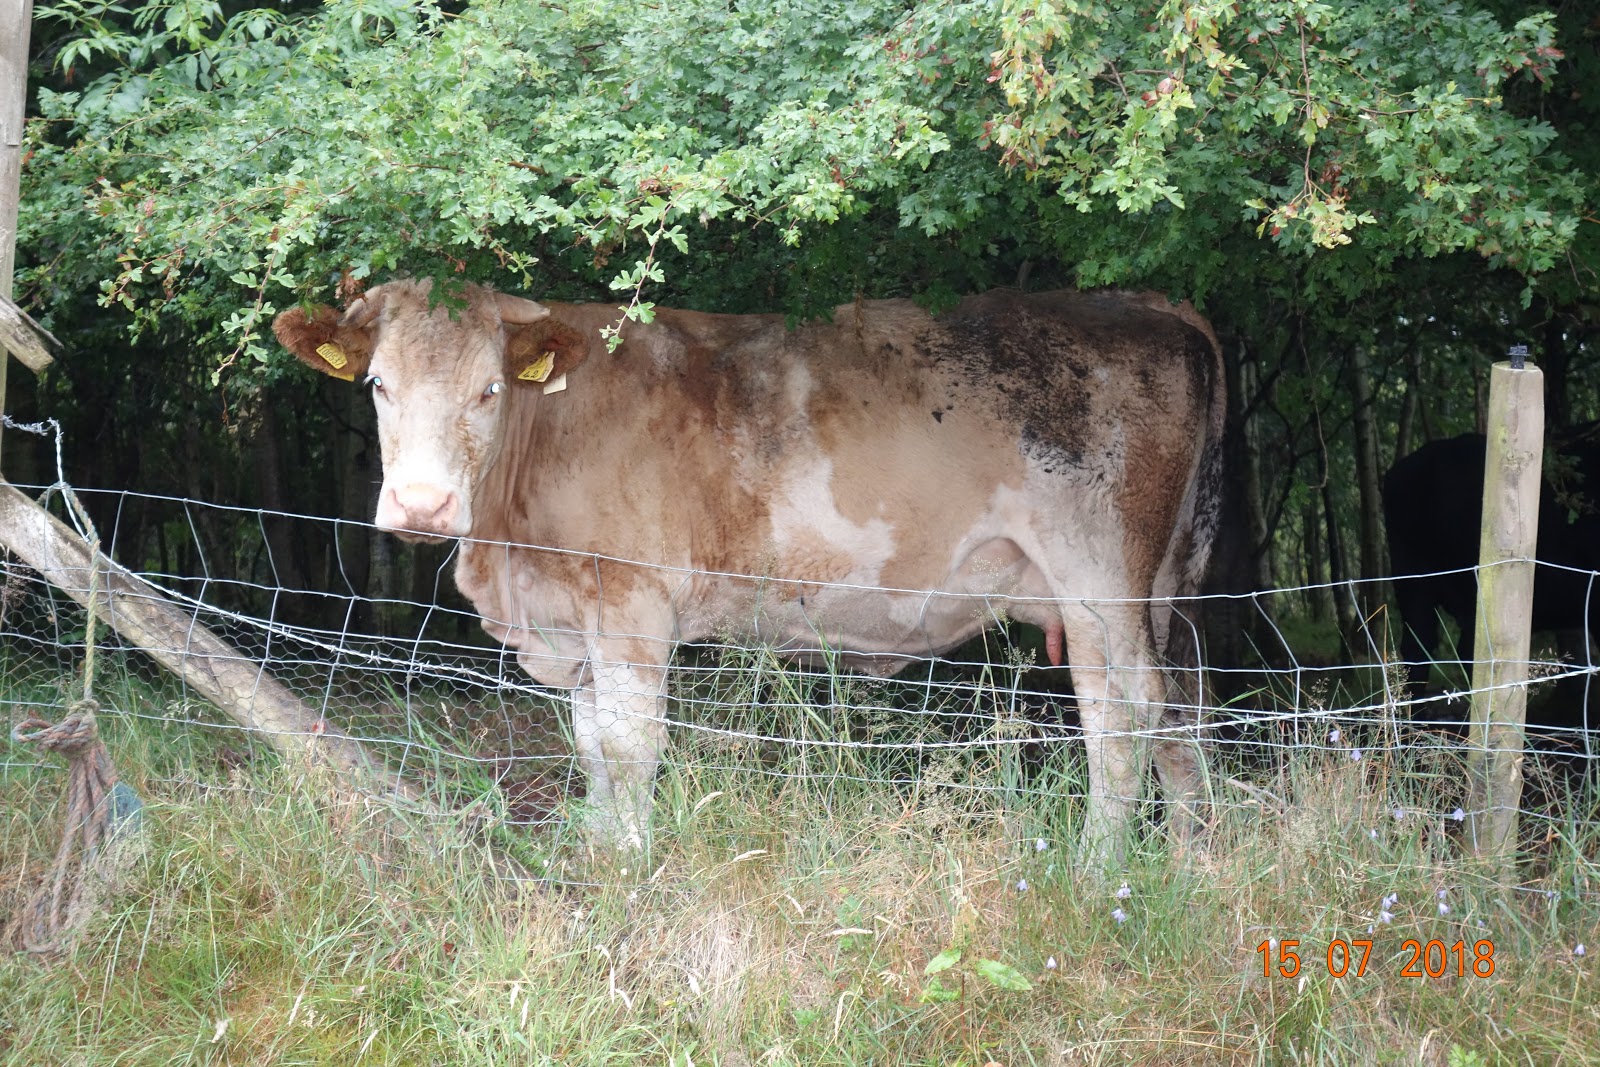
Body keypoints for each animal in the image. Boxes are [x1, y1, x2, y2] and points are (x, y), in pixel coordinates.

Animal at [274, 280, 1226, 859]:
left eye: (489, 390)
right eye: (379, 385)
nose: (424, 505)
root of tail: (1153, 305)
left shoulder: (631, 600)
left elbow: (630, 744)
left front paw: (630, 868)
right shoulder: (576, 614)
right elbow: (591, 745)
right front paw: (598, 853)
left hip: (1099, 578)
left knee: (1124, 718)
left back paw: (1098, 874)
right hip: (1164, 587)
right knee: (1184, 713)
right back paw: (1187, 866)